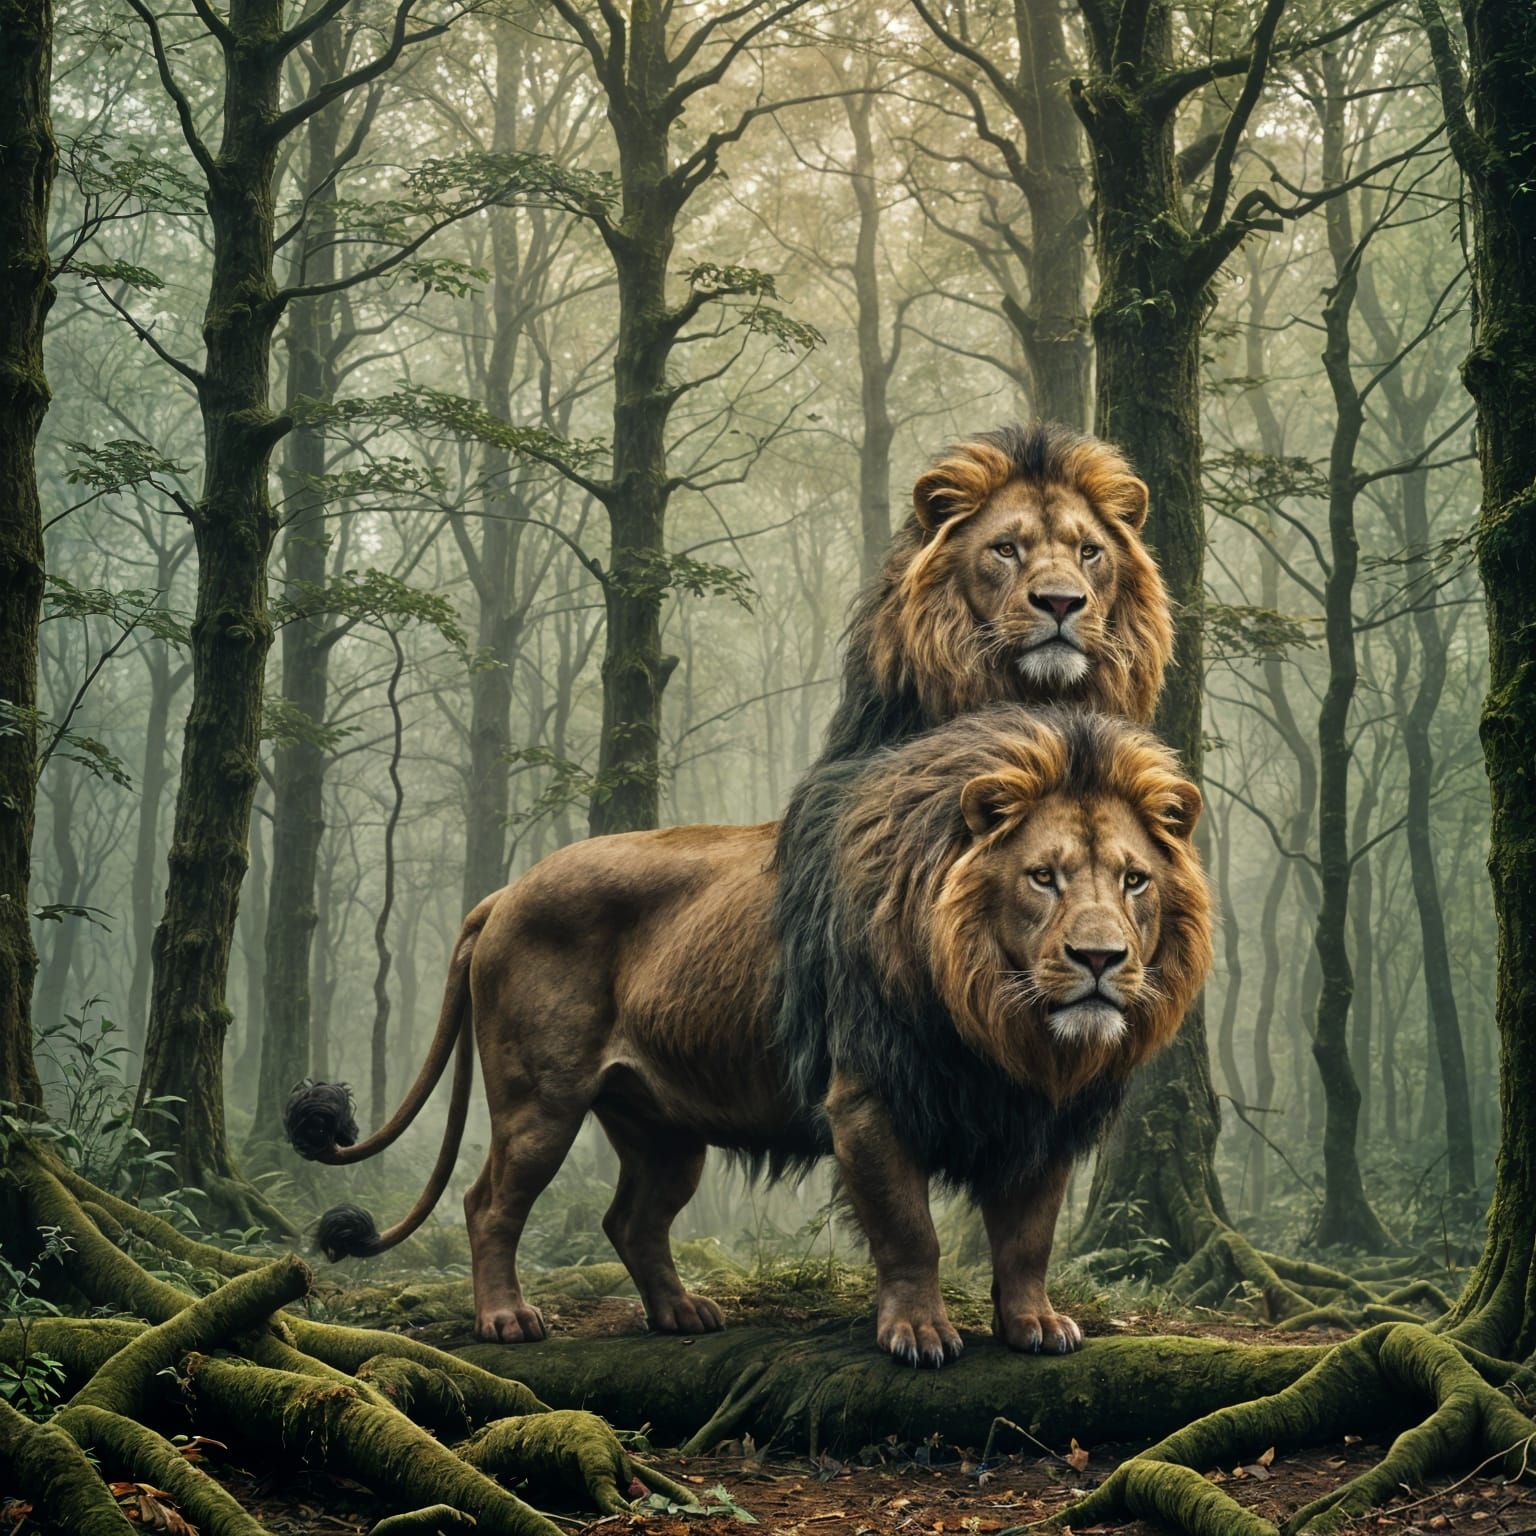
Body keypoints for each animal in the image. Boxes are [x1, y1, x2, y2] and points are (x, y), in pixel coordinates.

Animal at [286, 707, 1211, 1366]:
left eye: (1134, 880)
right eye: (1043, 877)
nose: (1101, 959)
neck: (1005, 1024)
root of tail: (504, 892)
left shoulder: (1038, 1123)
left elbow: (1028, 1238)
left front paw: (1035, 1325)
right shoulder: (866, 1102)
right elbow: (910, 1230)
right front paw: (918, 1334)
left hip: (662, 1126)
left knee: (631, 1220)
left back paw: (681, 1314)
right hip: (539, 1100)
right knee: (488, 1204)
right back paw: (507, 1318)